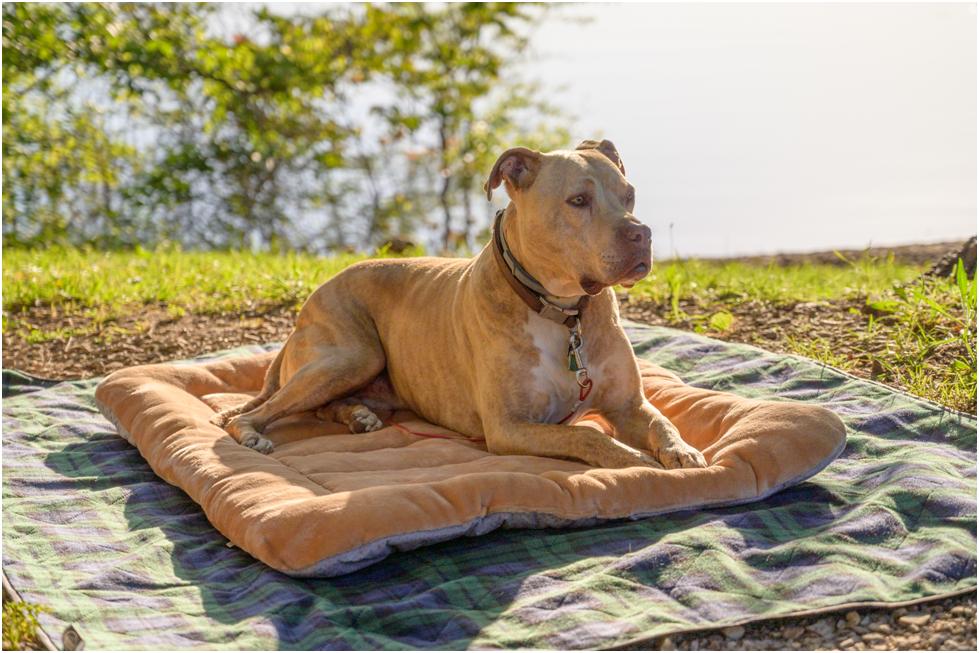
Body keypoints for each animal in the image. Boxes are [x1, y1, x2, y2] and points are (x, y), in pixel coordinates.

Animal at [212, 140, 704, 472]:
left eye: (629, 195)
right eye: (578, 200)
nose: (641, 234)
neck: (561, 312)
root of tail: (309, 302)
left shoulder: (629, 405)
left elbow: (662, 424)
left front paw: (682, 450)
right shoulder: (507, 427)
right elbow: (583, 434)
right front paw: (632, 459)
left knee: (319, 407)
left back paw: (358, 416)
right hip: (352, 355)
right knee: (255, 413)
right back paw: (253, 433)